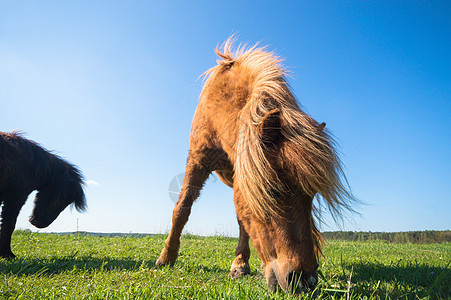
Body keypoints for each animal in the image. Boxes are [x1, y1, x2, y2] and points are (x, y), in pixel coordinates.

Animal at [157, 38, 354, 294]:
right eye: (273, 191)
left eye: (311, 197)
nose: (305, 281)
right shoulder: (198, 160)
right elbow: (182, 208)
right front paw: (166, 258)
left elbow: (243, 221)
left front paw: (240, 264)